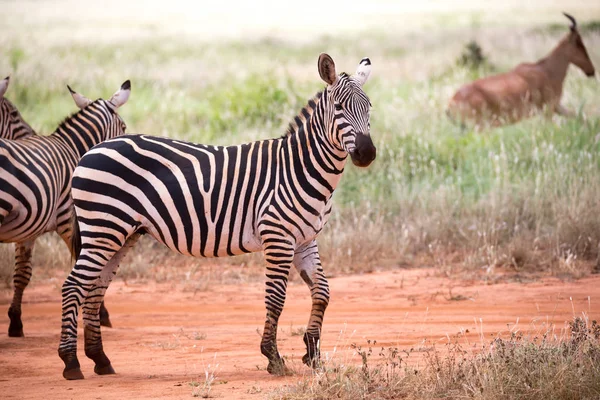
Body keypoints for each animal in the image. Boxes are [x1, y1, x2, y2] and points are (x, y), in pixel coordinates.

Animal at [1, 81, 131, 338]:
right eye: (123, 126)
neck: (71, 148)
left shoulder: (29, 227)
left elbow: (21, 274)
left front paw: (15, 321)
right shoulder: (71, 221)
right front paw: (101, 314)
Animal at [57, 54, 376, 382]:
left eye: (369, 107)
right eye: (339, 107)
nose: (367, 153)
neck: (300, 168)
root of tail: (92, 149)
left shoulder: (305, 239)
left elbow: (322, 291)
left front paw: (312, 353)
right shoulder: (278, 237)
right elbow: (275, 298)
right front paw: (273, 358)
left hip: (121, 234)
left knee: (94, 288)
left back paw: (100, 359)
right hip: (103, 227)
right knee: (73, 286)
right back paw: (71, 362)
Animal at [446, 12, 596, 128]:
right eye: (579, 43)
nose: (591, 71)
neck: (545, 70)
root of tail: (451, 103)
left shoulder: (556, 106)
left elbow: (580, 117)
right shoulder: (548, 110)